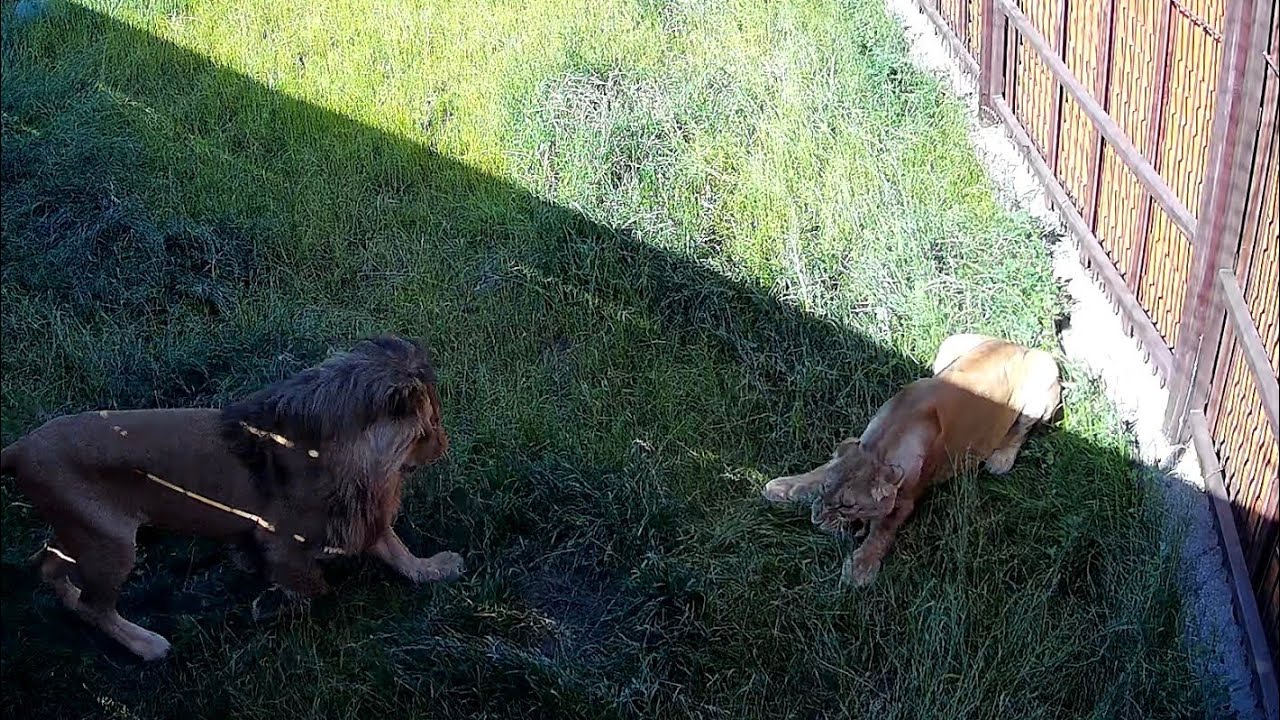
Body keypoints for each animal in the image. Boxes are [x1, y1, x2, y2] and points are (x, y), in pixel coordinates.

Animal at [0, 335, 465, 661]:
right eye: (431, 425)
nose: (444, 446)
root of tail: (18, 449)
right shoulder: (282, 538)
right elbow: (312, 585)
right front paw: (285, 605)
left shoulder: (359, 508)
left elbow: (394, 547)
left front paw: (432, 570)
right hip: (110, 543)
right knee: (97, 605)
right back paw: (147, 644)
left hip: (83, 532)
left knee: (48, 566)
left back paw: (70, 602)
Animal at [762, 333, 1061, 586]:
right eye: (826, 489)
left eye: (849, 506)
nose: (816, 521)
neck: (882, 443)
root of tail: (1019, 345)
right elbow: (818, 471)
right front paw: (784, 487)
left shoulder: (907, 498)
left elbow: (882, 532)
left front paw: (860, 568)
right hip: (952, 343)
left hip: (1044, 376)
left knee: (1022, 429)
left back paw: (1000, 459)